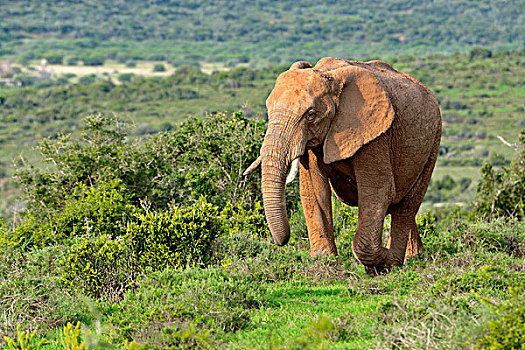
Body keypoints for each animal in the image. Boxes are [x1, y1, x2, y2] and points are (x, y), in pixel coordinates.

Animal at [244, 57, 440, 274]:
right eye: (268, 110)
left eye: (311, 114)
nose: (282, 241)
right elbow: (314, 192)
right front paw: (325, 263)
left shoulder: (375, 134)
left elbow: (378, 191)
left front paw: (381, 263)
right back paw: (415, 257)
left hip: (433, 142)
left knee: (406, 204)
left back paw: (396, 261)